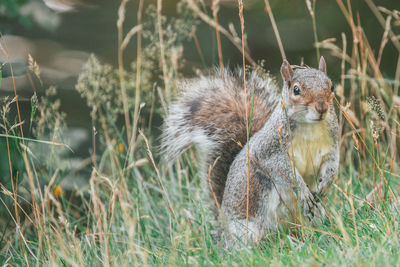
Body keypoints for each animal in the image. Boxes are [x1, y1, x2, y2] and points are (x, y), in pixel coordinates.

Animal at [161, 57, 340, 244]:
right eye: (296, 90)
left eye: (331, 86)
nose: (321, 108)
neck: (310, 126)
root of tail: (222, 232)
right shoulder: (269, 152)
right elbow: (284, 171)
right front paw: (303, 191)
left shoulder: (331, 147)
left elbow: (332, 164)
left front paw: (326, 183)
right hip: (247, 228)